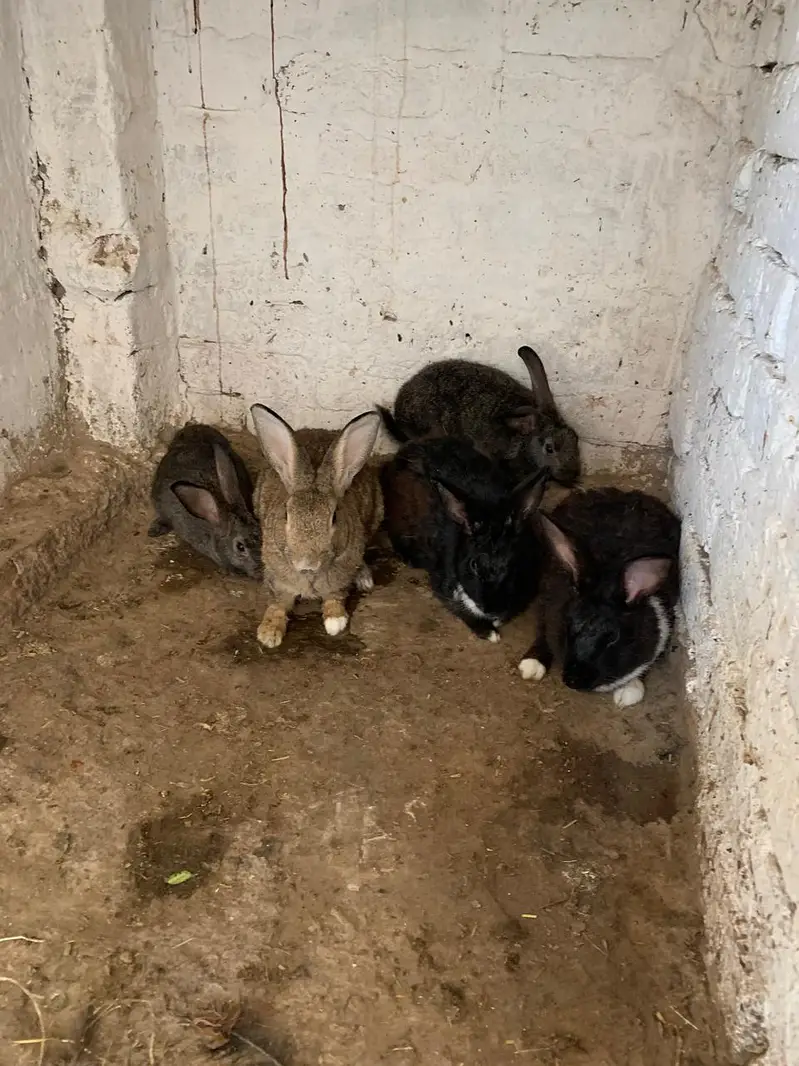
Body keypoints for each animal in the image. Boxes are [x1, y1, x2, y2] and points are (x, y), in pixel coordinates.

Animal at [250, 404, 384, 648]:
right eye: (286, 514)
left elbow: (335, 597)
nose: (307, 564)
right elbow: (277, 604)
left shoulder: (340, 577)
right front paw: (268, 633)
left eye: (334, 517)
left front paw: (335, 621)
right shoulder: (278, 580)